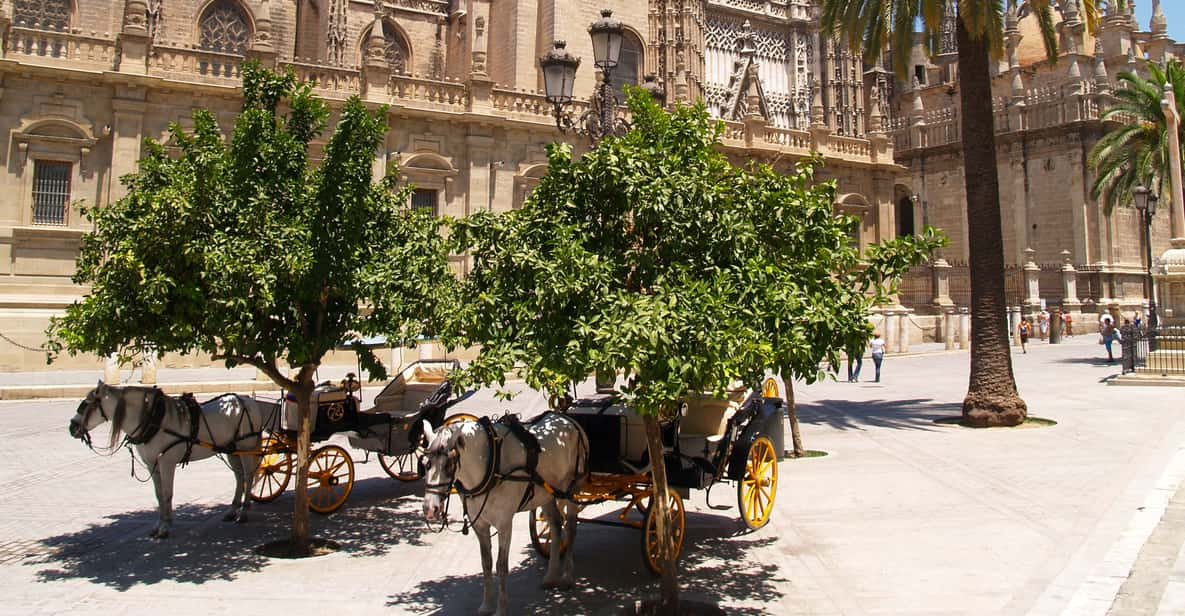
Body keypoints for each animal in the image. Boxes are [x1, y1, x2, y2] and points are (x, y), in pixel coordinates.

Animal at [68, 381, 279, 535]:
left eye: (87, 404)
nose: (72, 427)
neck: (155, 421)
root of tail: (247, 400)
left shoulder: (167, 462)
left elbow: (168, 493)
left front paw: (165, 528)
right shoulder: (151, 463)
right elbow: (159, 494)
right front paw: (159, 524)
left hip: (246, 447)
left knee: (249, 476)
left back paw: (243, 512)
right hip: (232, 449)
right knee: (239, 477)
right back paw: (233, 510)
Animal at [421, 412, 587, 616]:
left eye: (449, 465)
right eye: (424, 464)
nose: (430, 509)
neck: (490, 463)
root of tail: (567, 419)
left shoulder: (504, 523)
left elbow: (501, 565)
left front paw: (501, 608)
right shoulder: (480, 525)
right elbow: (486, 563)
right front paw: (486, 605)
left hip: (572, 489)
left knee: (570, 529)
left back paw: (567, 577)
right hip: (546, 493)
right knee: (556, 525)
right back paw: (551, 576)